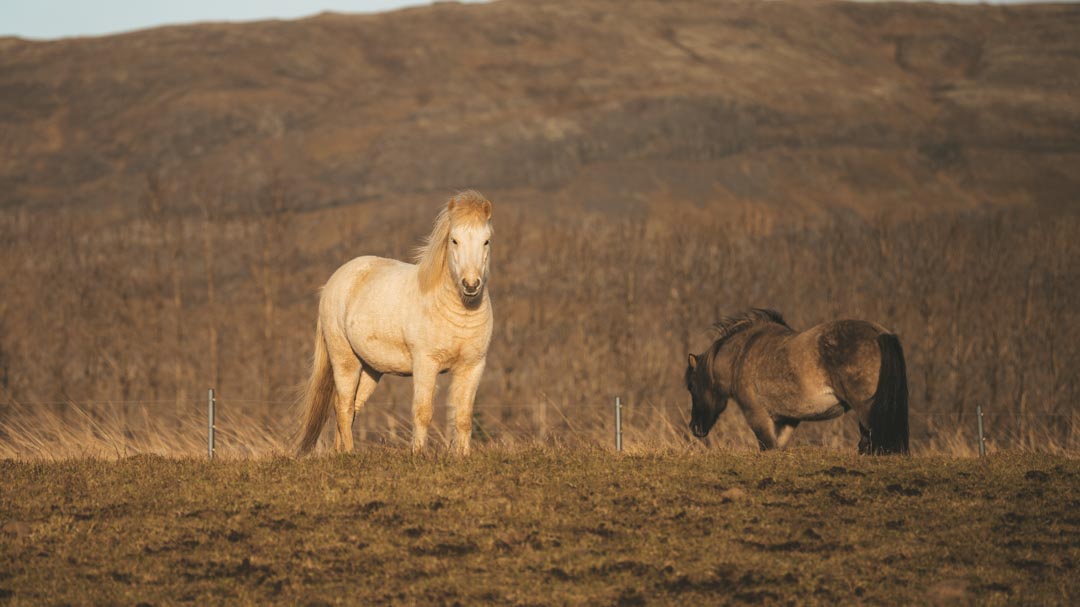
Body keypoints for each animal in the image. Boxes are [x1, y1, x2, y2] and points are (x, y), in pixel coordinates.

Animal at [298, 190, 494, 453]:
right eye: (454, 240)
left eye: (486, 241)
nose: (471, 285)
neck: (458, 313)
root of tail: (333, 282)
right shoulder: (426, 364)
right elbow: (423, 412)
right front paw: (418, 454)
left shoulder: (472, 367)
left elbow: (463, 417)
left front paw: (462, 456)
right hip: (345, 359)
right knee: (343, 406)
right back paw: (349, 452)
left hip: (370, 369)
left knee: (352, 407)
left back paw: (340, 452)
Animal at [686, 308, 907, 451]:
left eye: (692, 387)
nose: (695, 427)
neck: (741, 353)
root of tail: (880, 333)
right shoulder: (787, 419)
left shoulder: (756, 414)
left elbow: (768, 446)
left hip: (866, 409)